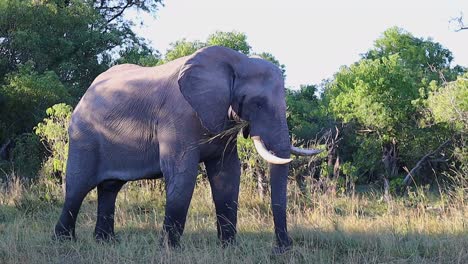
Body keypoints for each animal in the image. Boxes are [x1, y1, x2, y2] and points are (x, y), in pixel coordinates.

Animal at [54, 45, 318, 252]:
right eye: (258, 103)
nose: (283, 248)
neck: (235, 61)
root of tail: (85, 93)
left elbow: (227, 174)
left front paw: (228, 249)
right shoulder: (178, 116)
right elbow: (183, 173)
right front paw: (169, 250)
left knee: (110, 188)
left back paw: (105, 242)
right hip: (83, 136)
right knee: (77, 187)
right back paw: (64, 242)